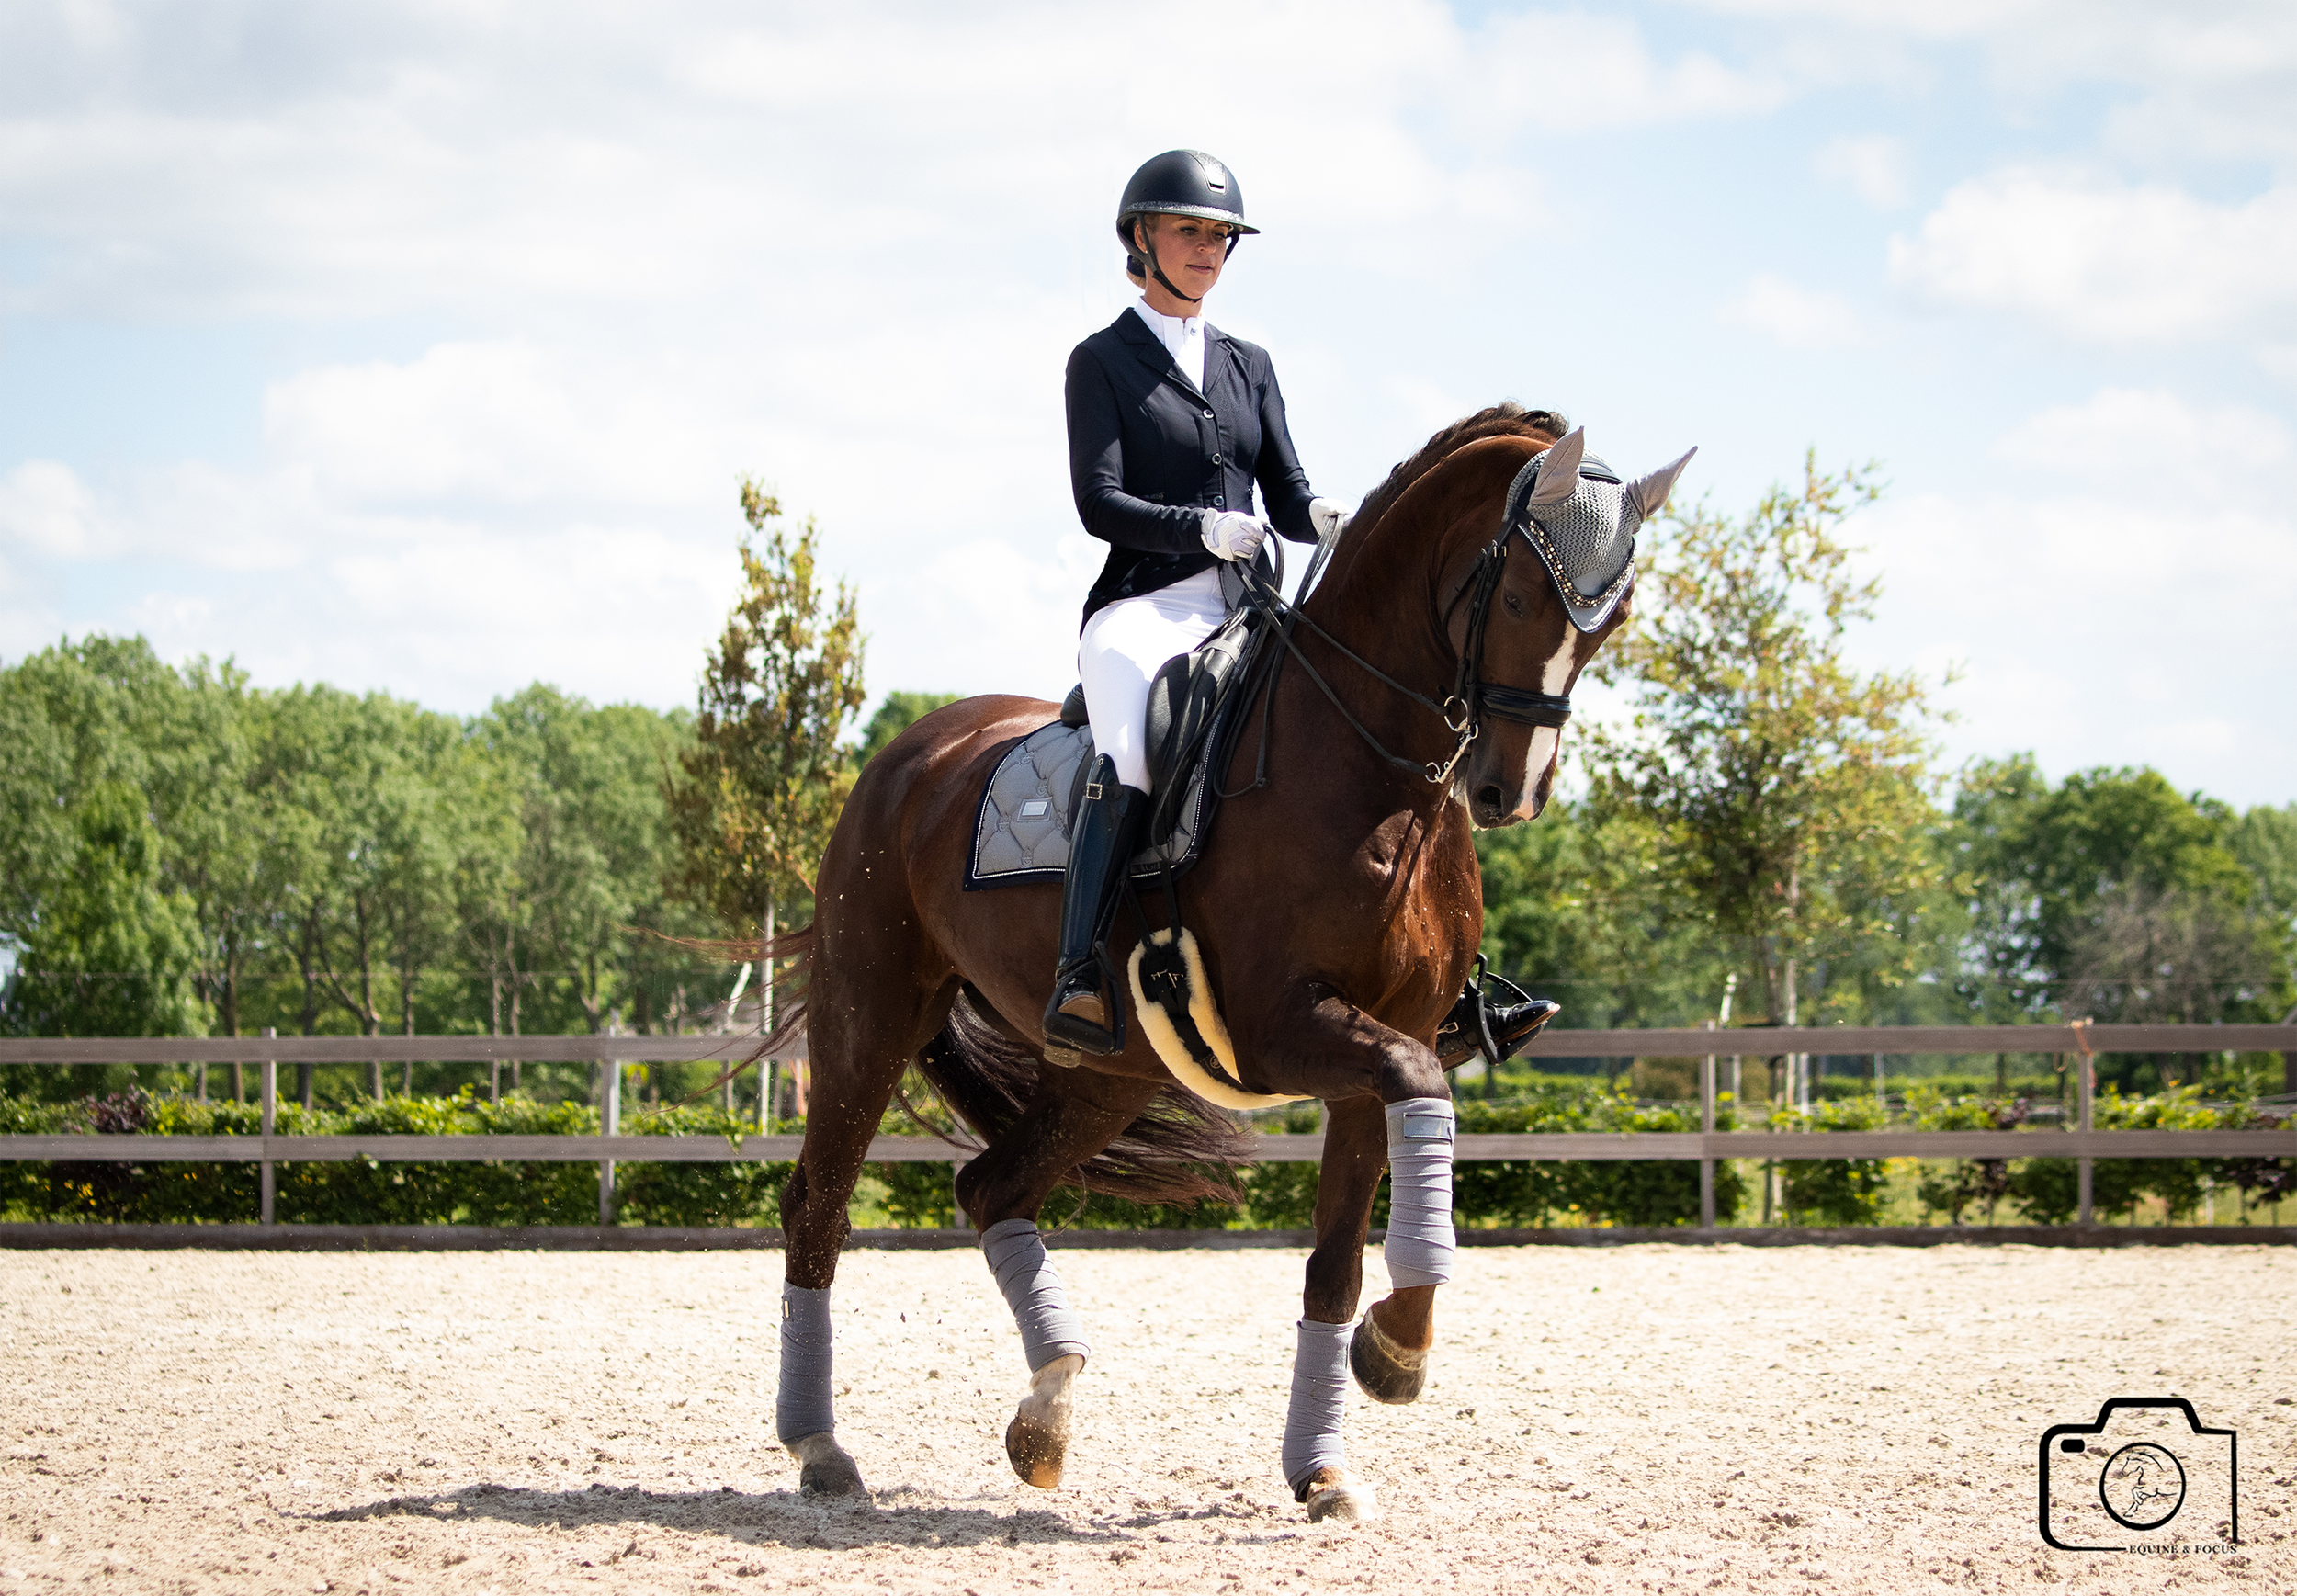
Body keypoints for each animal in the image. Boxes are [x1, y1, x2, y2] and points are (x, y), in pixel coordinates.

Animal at [762, 404, 1691, 1521]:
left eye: (1613, 618)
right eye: (1513, 594)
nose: (1513, 792)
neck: (1379, 783)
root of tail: (914, 749)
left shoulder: (1377, 1050)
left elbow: (1335, 1263)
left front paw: (1329, 1455)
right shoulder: (1284, 1029)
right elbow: (1418, 1093)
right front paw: (1397, 1352)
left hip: (1112, 1073)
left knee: (992, 1190)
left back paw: (1046, 1414)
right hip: (872, 1010)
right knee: (820, 1203)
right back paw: (821, 1446)